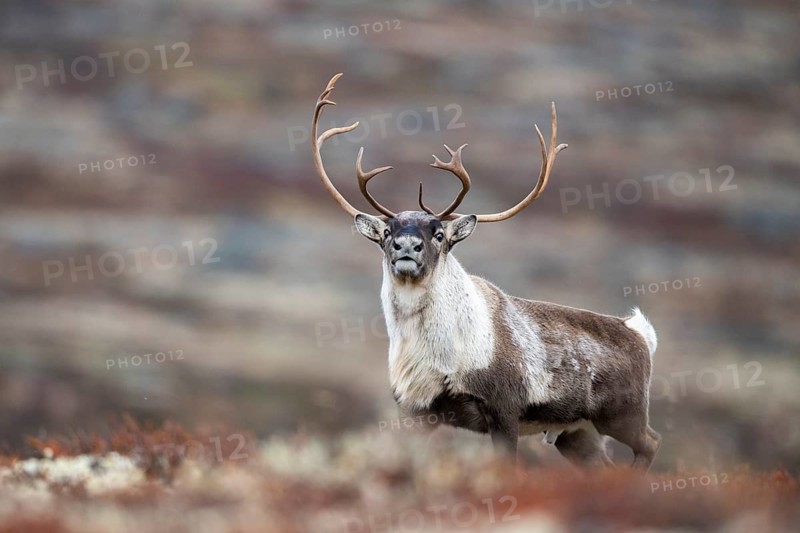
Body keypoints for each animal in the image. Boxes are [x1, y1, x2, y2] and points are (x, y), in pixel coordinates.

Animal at [311, 74, 661, 471]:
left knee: (651, 442)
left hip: (622, 415)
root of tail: (639, 332)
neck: (434, 350)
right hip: (576, 433)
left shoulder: (504, 410)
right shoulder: (419, 413)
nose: (406, 247)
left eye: (439, 233)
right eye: (387, 231)